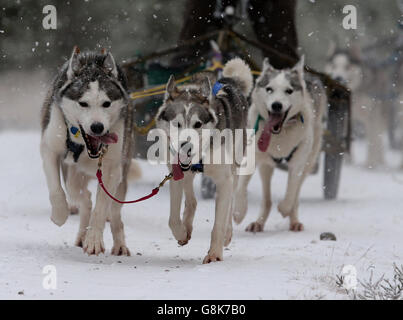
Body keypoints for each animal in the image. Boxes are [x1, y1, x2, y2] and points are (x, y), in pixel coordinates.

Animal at [41, 47, 136, 255]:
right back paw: (81, 231)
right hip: (72, 172)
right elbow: (56, 189)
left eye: (106, 103)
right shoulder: (50, 148)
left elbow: (100, 209)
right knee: (81, 196)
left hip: (121, 177)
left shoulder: (111, 170)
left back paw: (119, 244)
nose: (97, 127)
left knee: (114, 213)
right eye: (83, 103)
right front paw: (60, 214)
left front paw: (93, 239)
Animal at [157, 58, 254, 264]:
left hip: (235, 166)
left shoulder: (224, 181)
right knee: (191, 199)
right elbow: (173, 218)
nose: (186, 146)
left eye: (198, 124)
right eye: (177, 123)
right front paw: (181, 232)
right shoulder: (176, 173)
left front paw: (215, 254)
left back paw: (227, 234)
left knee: (231, 202)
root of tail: (229, 80)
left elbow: (219, 222)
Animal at [235, 57, 326, 232]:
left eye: (289, 91)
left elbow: (290, 193)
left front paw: (284, 209)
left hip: (309, 161)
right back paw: (258, 223)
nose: (276, 105)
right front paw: (239, 212)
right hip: (266, 165)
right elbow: (241, 186)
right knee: (267, 198)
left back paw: (294, 220)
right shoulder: (252, 155)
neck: (281, 134)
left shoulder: (298, 163)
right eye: (269, 89)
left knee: (296, 193)